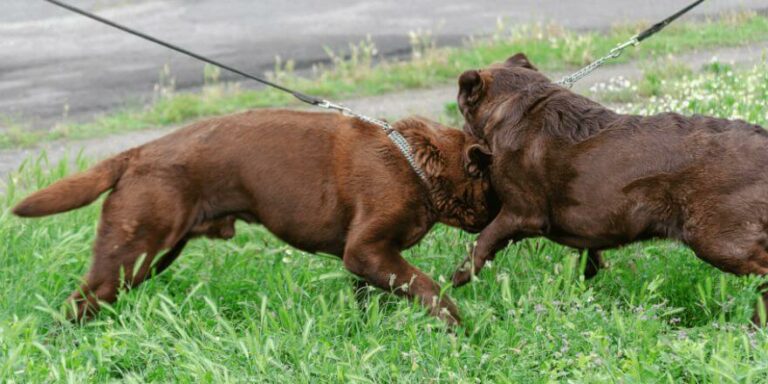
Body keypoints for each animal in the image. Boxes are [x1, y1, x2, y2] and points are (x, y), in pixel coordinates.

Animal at [13, 108, 498, 324]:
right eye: (496, 187)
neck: (416, 165)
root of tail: (137, 153)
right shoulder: (367, 249)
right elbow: (429, 287)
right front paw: (457, 326)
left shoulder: (369, 258)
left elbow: (375, 293)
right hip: (131, 252)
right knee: (78, 302)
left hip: (151, 257)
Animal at [450, 53, 768, 324]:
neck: (513, 104)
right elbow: (587, 260)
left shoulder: (520, 212)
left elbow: (482, 242)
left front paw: (455, 280)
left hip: (717, 239)